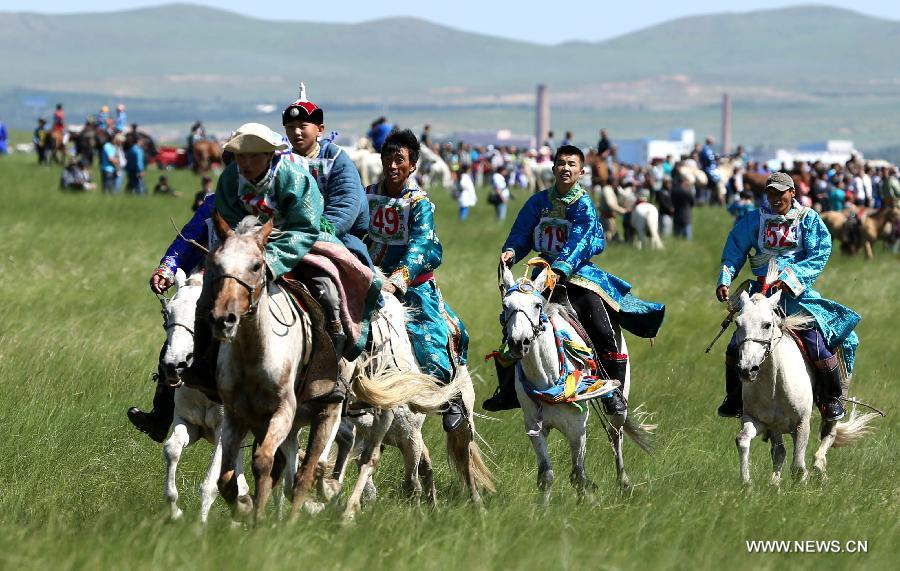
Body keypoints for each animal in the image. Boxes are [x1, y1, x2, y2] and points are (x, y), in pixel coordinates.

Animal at [500, 264, 652, 504]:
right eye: (506, 305)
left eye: (537, 305)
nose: (518, 342)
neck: (549, 379)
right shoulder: (534, 426)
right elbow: (546, 474)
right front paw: (542, 509)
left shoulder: (577, 428)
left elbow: (579, 474)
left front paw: (584, 505)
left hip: (620, 403)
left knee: (615, 435)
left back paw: (624, 483)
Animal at [728, 266, 876, 484]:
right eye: (738, 323)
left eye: (767, 324)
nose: (747, 369)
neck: (774, 384)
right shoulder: (756, 419)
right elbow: (743, 440)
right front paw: (746, 483)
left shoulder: (802, 425)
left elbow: (798, 467)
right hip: (776, 426)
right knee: (779, 451)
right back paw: (775, 482)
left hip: (838, 397)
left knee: (828, 435)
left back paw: (819, 467)